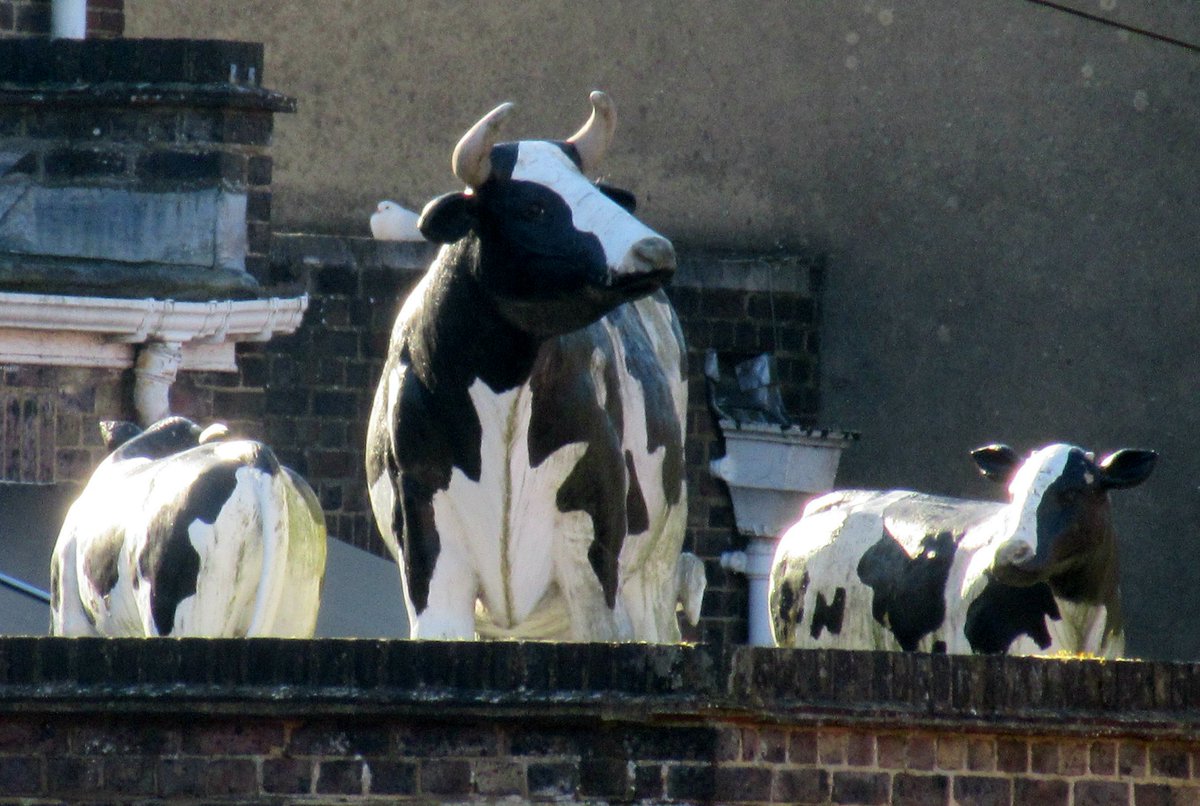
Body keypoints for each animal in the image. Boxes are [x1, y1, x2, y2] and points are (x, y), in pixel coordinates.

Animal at [366, 91, 701, 641]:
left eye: (595, 191)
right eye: (535, 206)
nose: (652, 248)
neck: (503, 388)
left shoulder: (593, 541)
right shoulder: (425, 528)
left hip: (657, 563)